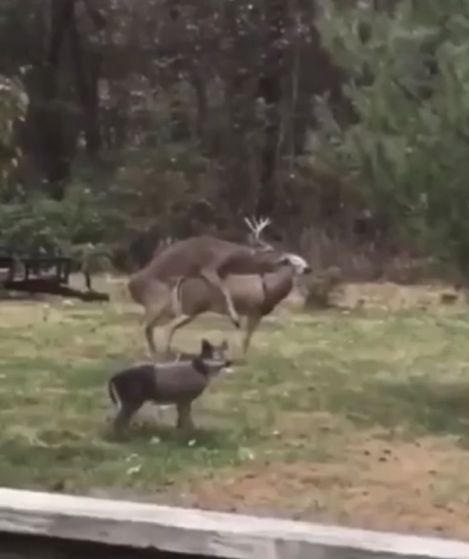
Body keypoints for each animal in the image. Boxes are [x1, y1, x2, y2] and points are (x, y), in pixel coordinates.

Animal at [127, 217, 310, 356]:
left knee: (155, 326)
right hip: (173, 304)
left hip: (176, 309)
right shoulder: (251, 309)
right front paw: (239, 343)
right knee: (148, 324)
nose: (308, 268)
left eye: (302, 258)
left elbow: (247, 337)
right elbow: (242, 330)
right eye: (291, 260)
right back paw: (151, 352)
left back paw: (159, 351)